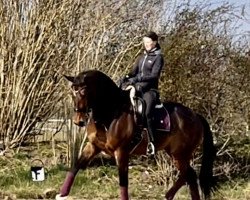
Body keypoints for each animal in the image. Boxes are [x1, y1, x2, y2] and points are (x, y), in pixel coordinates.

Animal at [56, 69, 217, 199]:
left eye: (83, 92)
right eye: (72, 92)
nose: (78, 121)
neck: (111, 112)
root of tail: (196, 116)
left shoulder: (121, 152)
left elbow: (123, 181)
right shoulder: (93, 146)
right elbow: (76, 166)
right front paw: (62, 193)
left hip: (180, 154)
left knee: (189, 174)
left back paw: (168, 195)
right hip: (175, 153)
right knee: (190, 176)